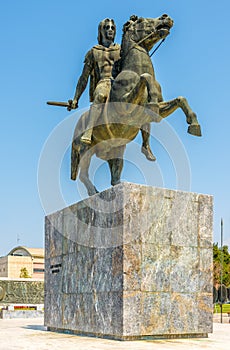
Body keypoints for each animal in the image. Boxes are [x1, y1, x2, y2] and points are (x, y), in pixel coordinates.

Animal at [71, 15, 200, 196]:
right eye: (141, 20)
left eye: (112, 28)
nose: (166, 17)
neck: (133, 70)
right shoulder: (125, 106)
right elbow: (145, 76)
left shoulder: (158, 111)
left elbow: (180, 99)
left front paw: (194, 124)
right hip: (85, 151)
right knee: (83, 174)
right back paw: (93, 191)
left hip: (116, 148)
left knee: (115, 171)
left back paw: (120, 183)